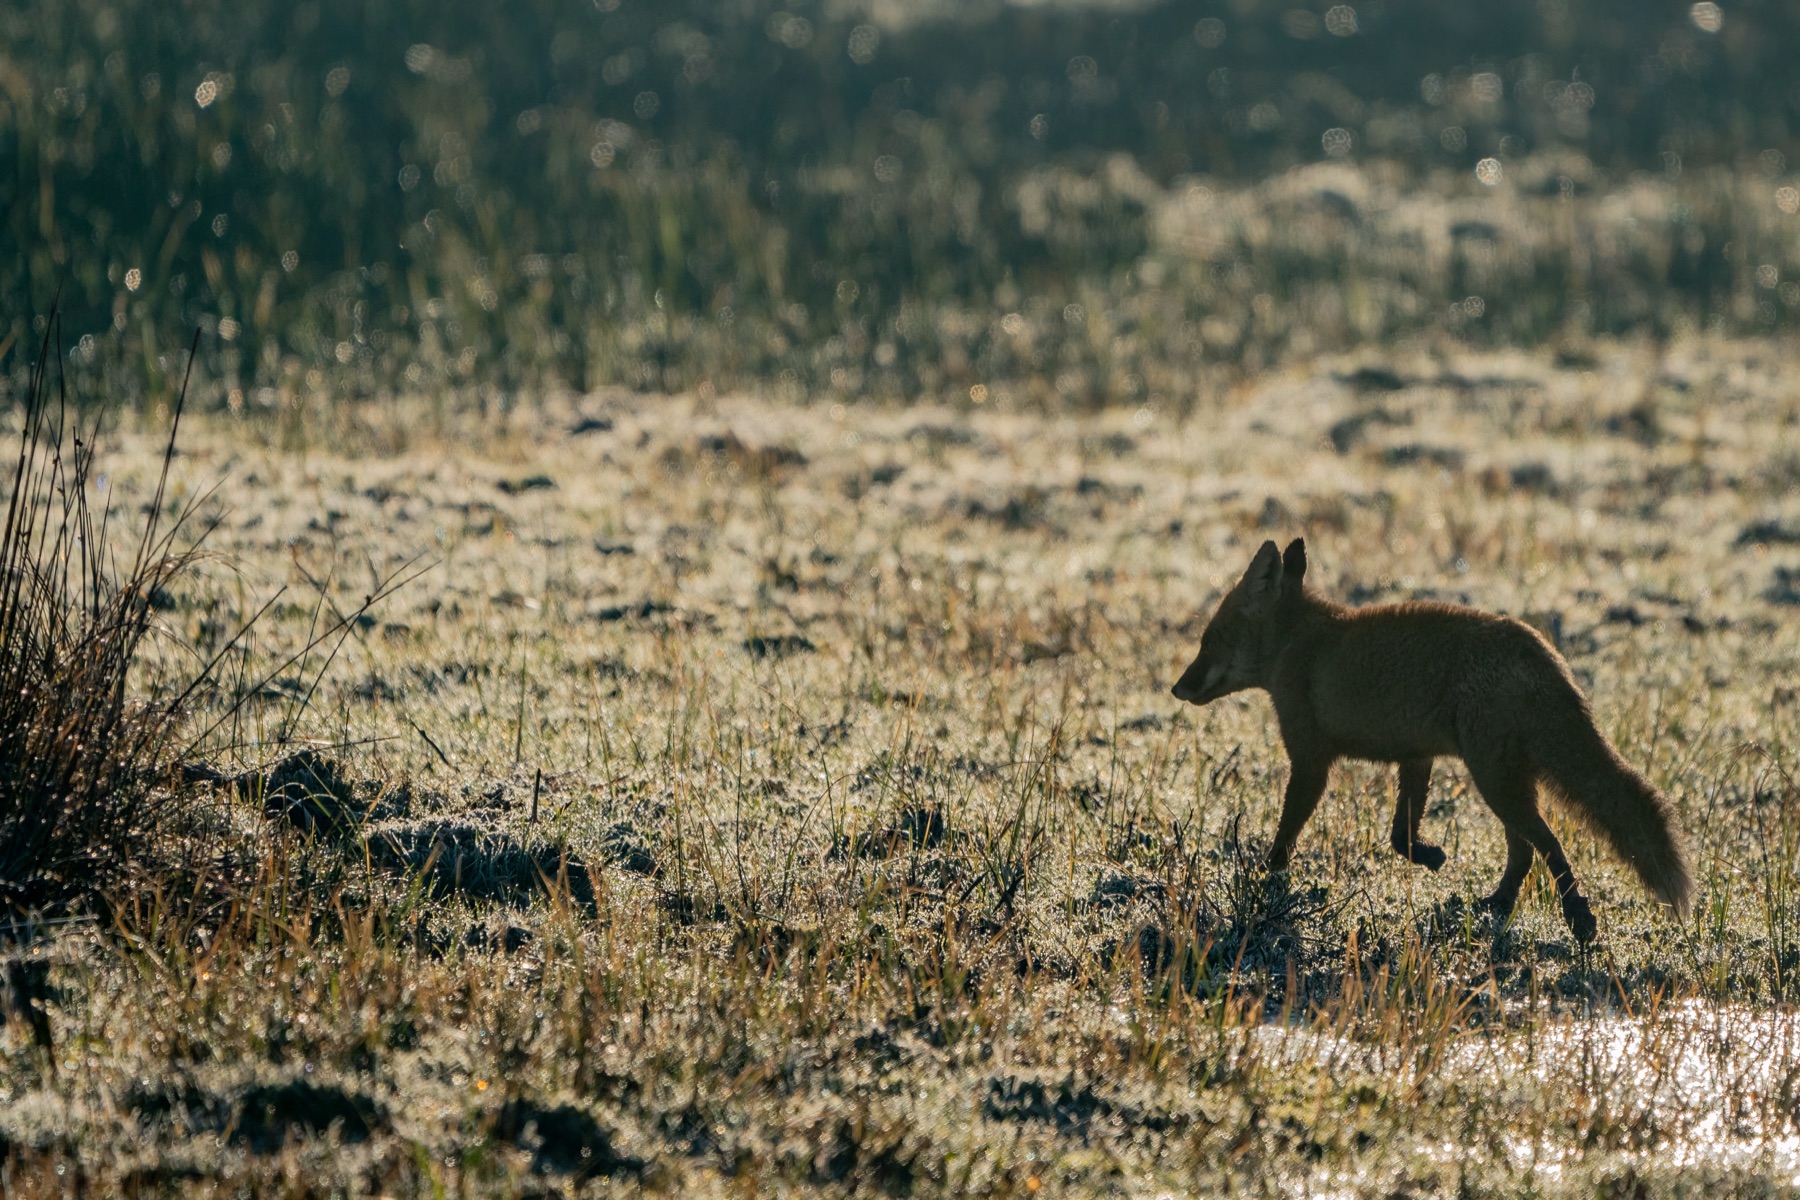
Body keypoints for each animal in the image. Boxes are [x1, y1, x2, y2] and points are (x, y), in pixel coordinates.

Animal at [1170, 537, 1692, 943]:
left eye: (1209, 639)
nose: (1177, 688)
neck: (1299, 646)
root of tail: (1542, 651)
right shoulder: (1416, 756)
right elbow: (1400, 837)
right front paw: (1430, 856)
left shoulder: (1311, 759)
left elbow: (1286, 834)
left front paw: (1266, 878)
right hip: (1506, 779)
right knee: (1524, 851)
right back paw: (1497, 905)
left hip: (1494, 779)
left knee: (1548, 844)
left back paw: (1578, 918)